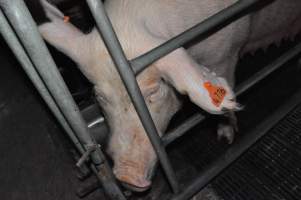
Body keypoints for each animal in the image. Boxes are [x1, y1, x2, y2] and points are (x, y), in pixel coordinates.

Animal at [28, 0, 300, 192]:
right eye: (99, 97)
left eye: (154, 90)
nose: (125, 174)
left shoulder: (227, 53)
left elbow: (226, 88)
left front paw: (226, 136)